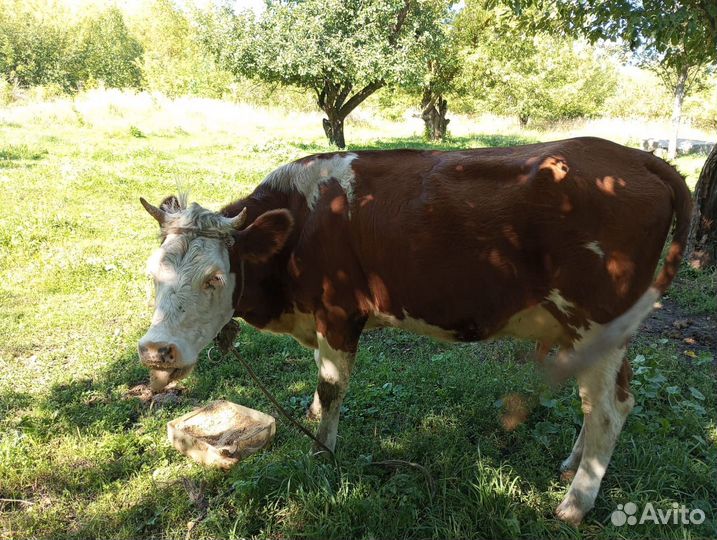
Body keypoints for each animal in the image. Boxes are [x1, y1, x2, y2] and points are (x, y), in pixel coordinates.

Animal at [138, 136, 691, 525]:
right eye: (152, 272)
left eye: (214, 278)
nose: (156, 350)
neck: (301, 224)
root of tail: (633, 157)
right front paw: (311, 420)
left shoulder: (339, 313)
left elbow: (331, 387)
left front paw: (322, 451)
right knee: (601, 403)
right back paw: (573, 465)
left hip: (597, 321)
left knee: (610, 410)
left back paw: (576, 503)